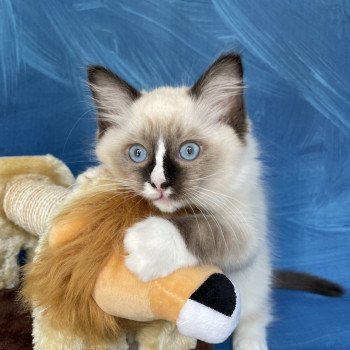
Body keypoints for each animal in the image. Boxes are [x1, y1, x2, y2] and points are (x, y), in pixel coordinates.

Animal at [89, 52, 270, 350]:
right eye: (138, 154)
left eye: (189, 151)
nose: (159, 184)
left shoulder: (245, 231)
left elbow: (202, 227)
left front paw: (145, 245)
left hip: (256, 281)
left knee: (255, 317)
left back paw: (250, 344)